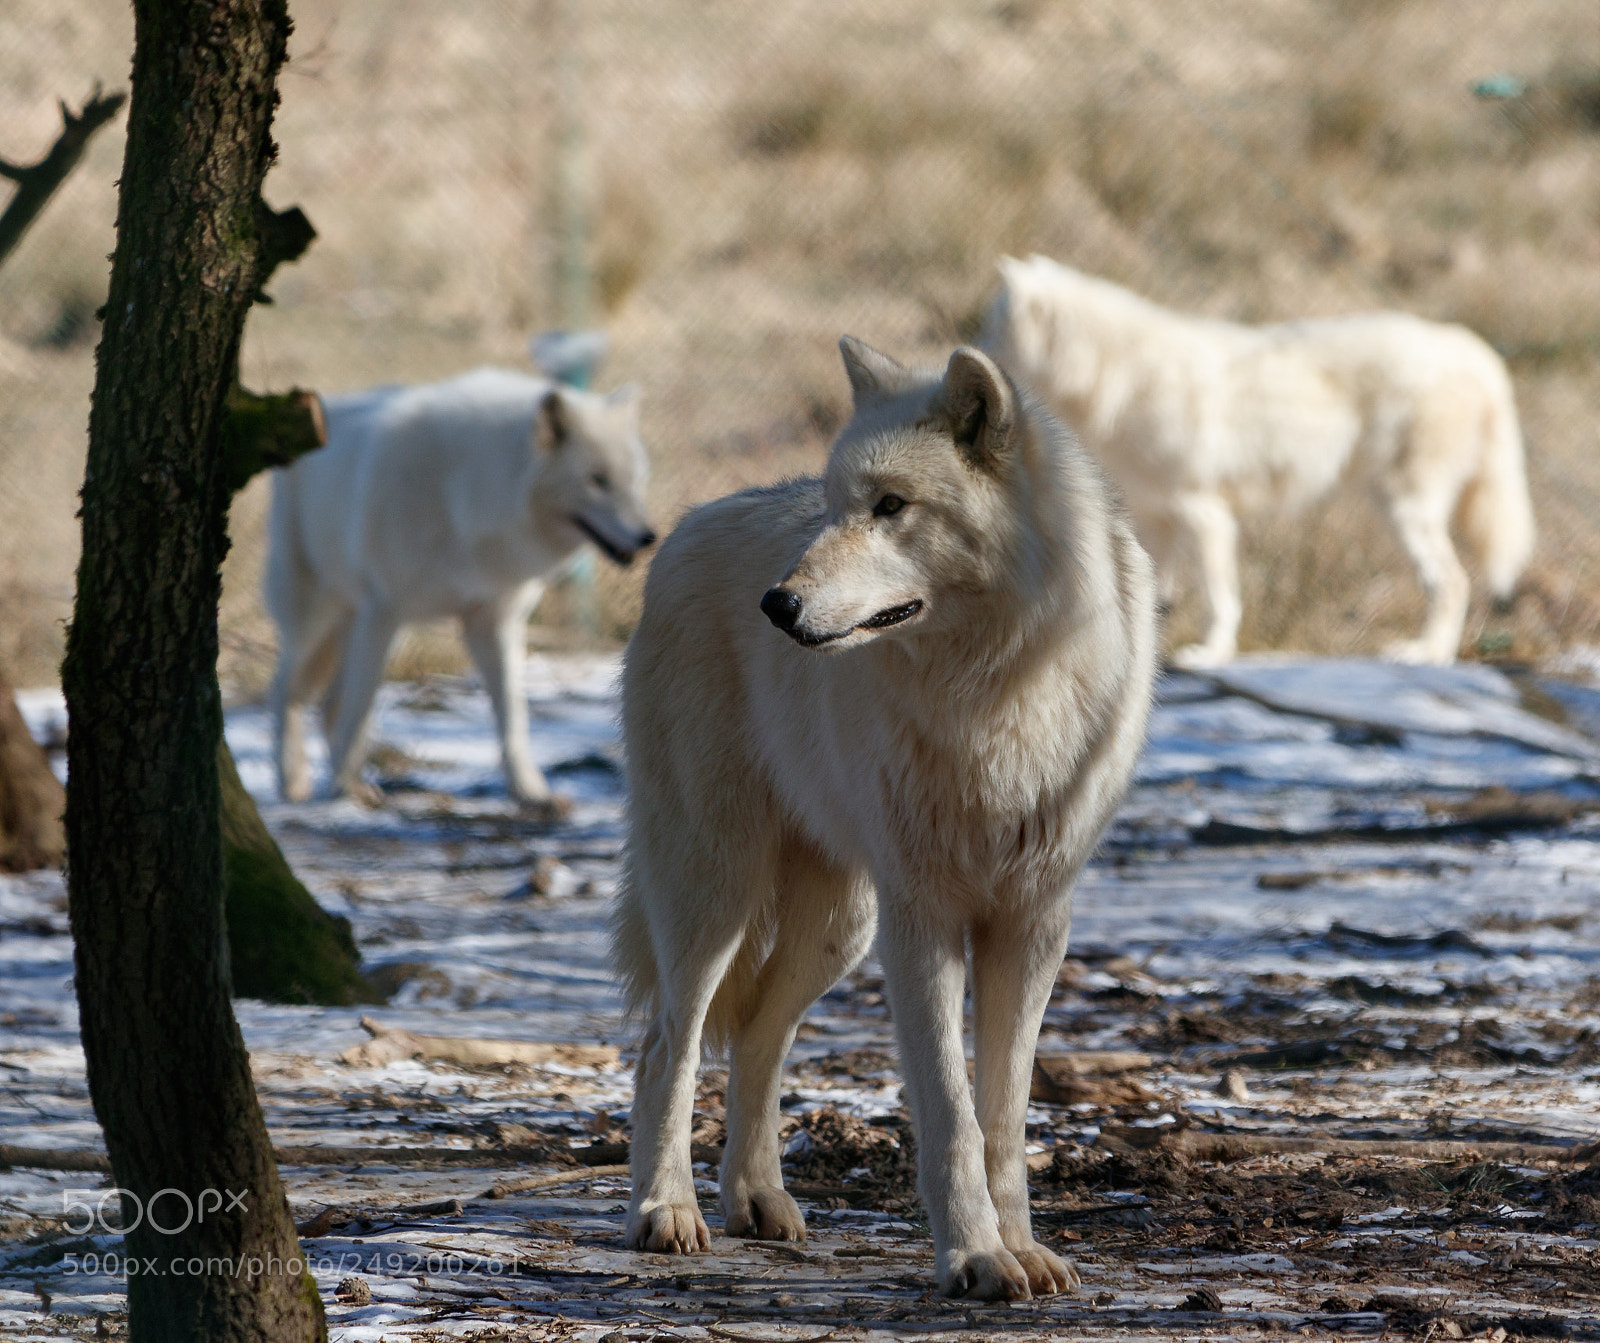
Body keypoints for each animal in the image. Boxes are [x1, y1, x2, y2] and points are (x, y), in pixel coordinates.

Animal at [265, 367, 655, 807]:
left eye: (635, 480)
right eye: (597, 481)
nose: (648, 537)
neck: (467, 489)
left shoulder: (494, 621)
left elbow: (512, 714)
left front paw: (530, 791)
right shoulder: (383, 609)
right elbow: (361, 705)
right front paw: (344, 789)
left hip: (364, 627)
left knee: (329, 701)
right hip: (317, 617)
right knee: (286, 691)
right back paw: (292, 781)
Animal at [612, 339, 1157, 1300]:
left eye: (891, 506)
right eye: (835, 508)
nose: (776, 605)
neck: (994, 691)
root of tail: (687, 524)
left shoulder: (1033, 922)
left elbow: (1004, 1116)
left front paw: (1023, 1249)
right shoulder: (923, 918)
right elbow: (948, 1111)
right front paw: (975, 1257)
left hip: (841, 926)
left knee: (756, 1037)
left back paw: (758, 1201)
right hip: (718, 893)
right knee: (666, 1043)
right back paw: (665, 1210)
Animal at [983, 255, 1535, 668]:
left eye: (991, 329)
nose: (967, 358)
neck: (1113, 376)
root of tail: (1476, 352)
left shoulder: (1205, 513)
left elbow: (1219, 599)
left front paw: (1209, 654)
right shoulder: (1156, 517)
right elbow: (1149, 597)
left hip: (1403, 508)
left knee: (1453, 582)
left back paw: (1426, 654)